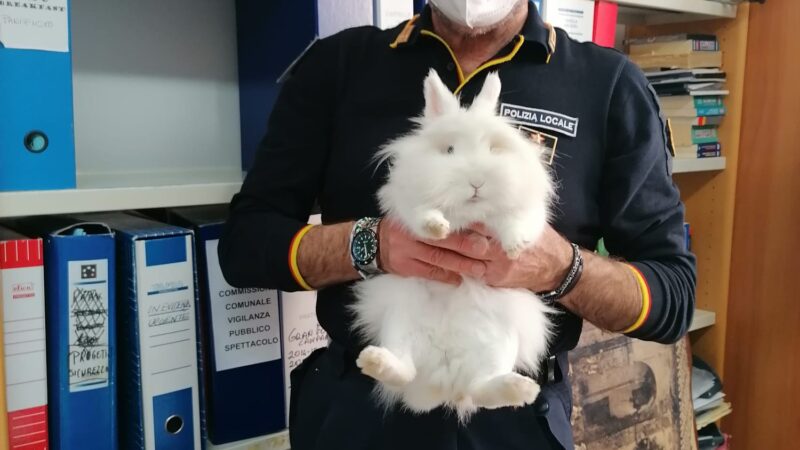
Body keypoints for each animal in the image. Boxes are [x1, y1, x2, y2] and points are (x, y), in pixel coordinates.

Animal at [350, 68, 556, 420]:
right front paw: (437, 229)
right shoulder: (408, 202)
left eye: (493, 149)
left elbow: (516, 222)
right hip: (399, 318)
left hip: (500, 338)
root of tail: (444, 380)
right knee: (403, 369)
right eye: (448, 151)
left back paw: (519, 389)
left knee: (483, 387)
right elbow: (421, 214)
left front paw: (514, 247)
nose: (477, 182)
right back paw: (375, 361)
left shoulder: (528, 211)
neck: (469, 215)